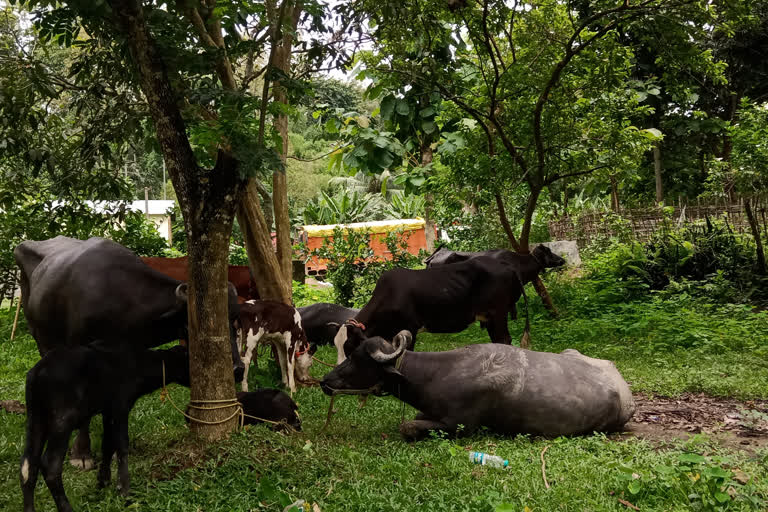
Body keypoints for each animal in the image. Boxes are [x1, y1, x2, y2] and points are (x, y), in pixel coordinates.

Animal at [20, 344, 189, 512]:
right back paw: (67, 507)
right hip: (62, 419)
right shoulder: (120, 406)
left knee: (27, 466)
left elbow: (107, 444)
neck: (138, 367)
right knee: (50, 464)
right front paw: (124, 490)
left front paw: (103, 482)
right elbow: (122, 445)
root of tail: (36, 375)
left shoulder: (108, 411)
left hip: (36, 417)